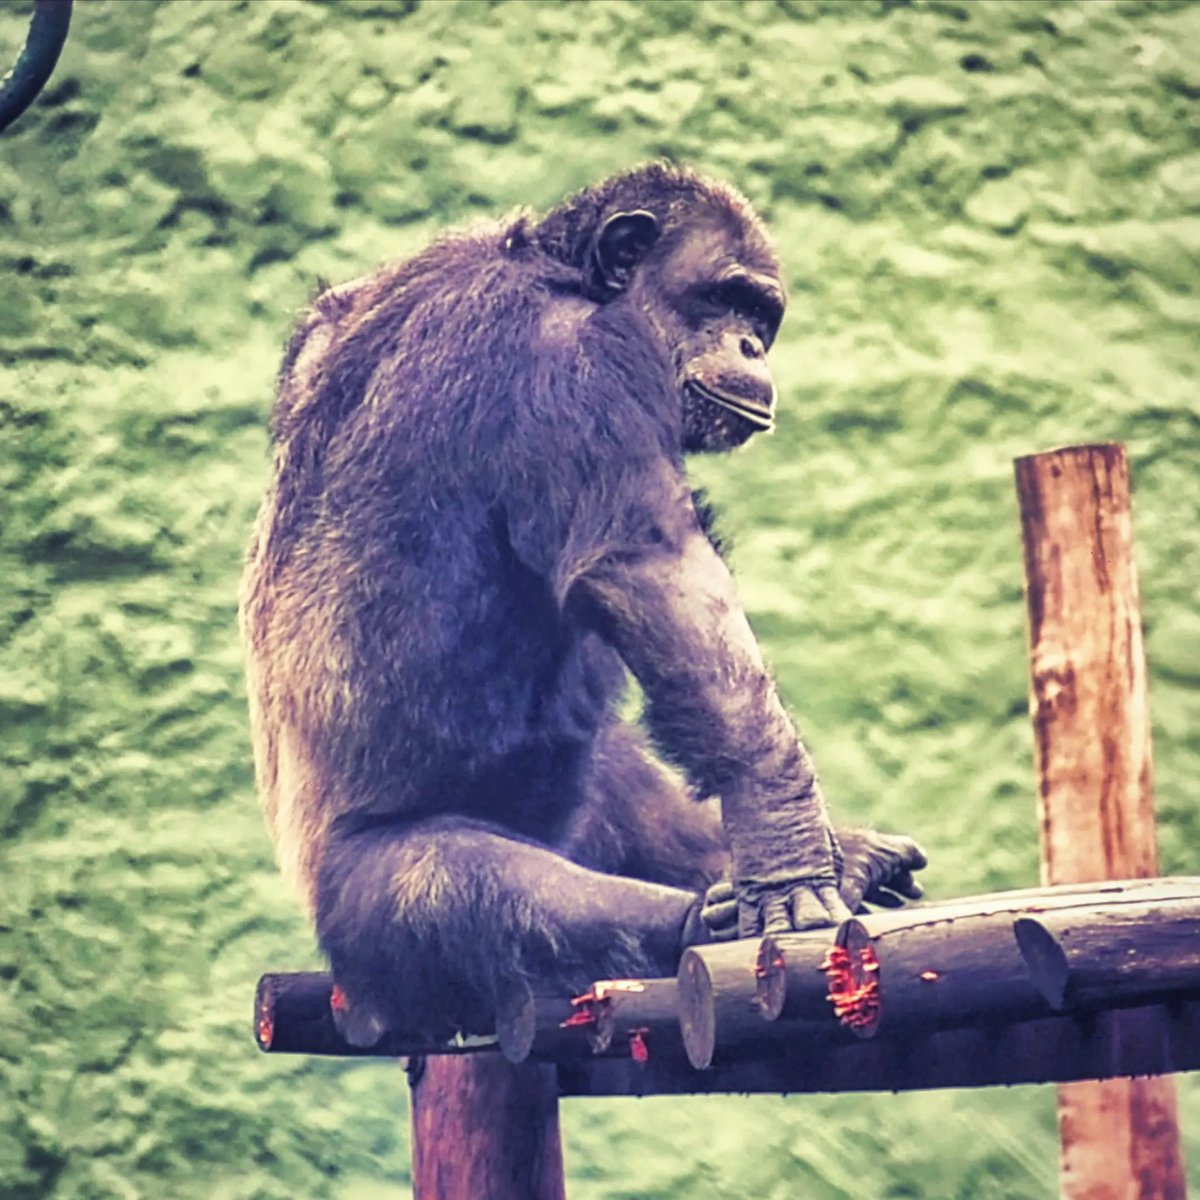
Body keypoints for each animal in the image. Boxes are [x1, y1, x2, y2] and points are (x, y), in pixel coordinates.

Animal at [240, 162, 925, 1045]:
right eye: (724, 298)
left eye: (760, 319)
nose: (749, 346)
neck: (561, 273)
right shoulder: (573, 362)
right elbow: (654, 575)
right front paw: (788, 860)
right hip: (359, 918)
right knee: (446, 879)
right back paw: (698, 921)